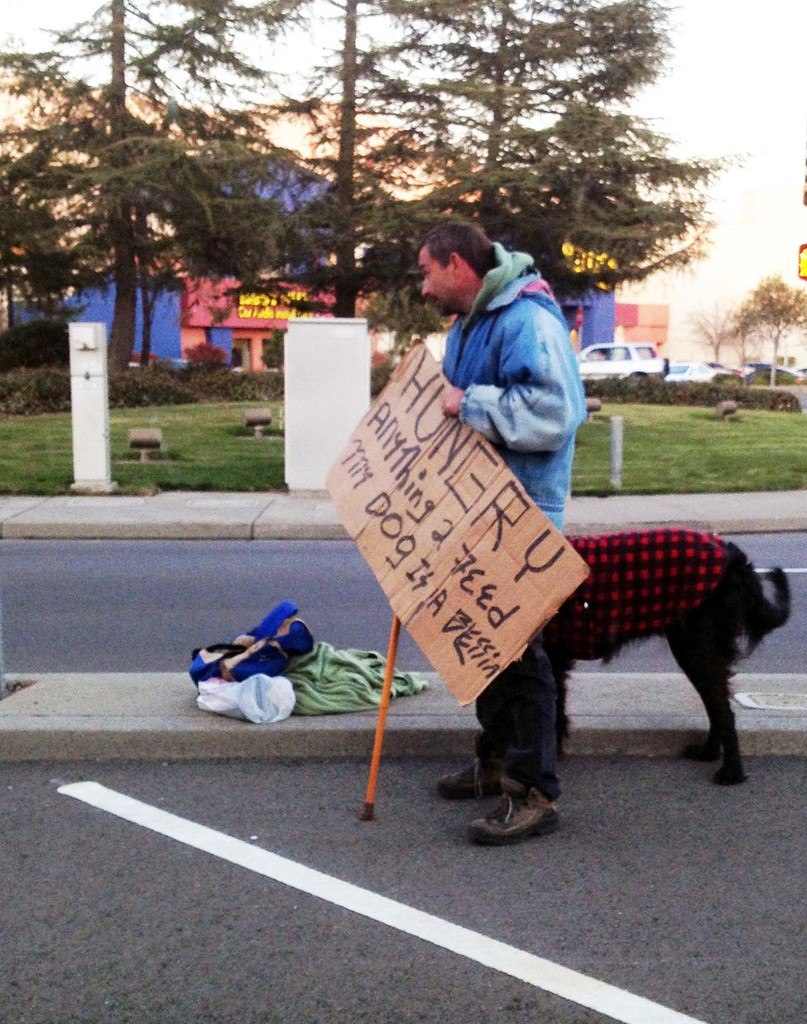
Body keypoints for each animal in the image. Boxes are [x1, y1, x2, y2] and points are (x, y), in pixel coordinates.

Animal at [544, 528, 790, 782]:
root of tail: (733, 555)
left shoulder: (552, 664)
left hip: (695, 650)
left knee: (723, 711)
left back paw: (731, 773)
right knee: (716, 706)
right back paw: (708, 753)